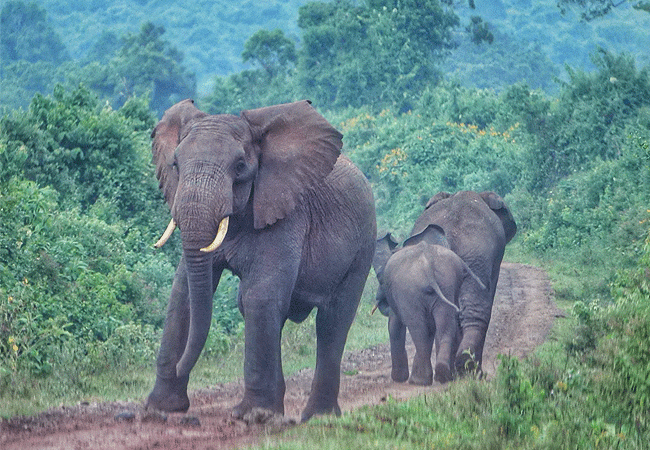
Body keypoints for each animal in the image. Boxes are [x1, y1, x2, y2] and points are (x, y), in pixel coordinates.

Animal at [143, 98, 374, 422]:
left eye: (240, 167)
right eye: (175, 165)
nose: (179, 367)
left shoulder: (287, 213)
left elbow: (261, 297)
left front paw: (250, 416)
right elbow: (183, 294)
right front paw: (160, 409)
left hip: (363, 246)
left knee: (332, 322)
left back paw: (316, 416)